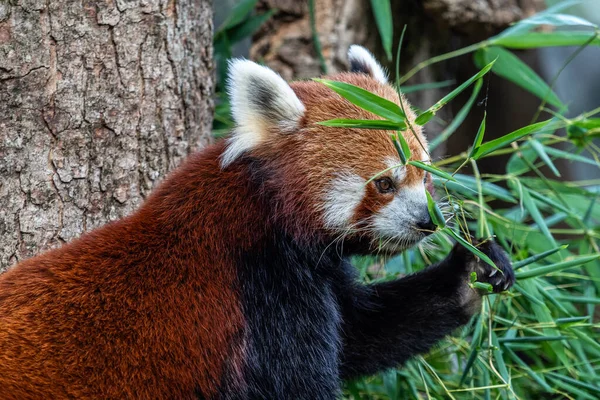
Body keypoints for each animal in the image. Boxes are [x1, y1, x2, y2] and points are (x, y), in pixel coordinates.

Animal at [1, 45, 516, 398]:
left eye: (424, 173)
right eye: (385, 183)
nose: (428, 222)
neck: (266, 214)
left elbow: (361, 333)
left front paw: (471, 270)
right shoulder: (258, 296)